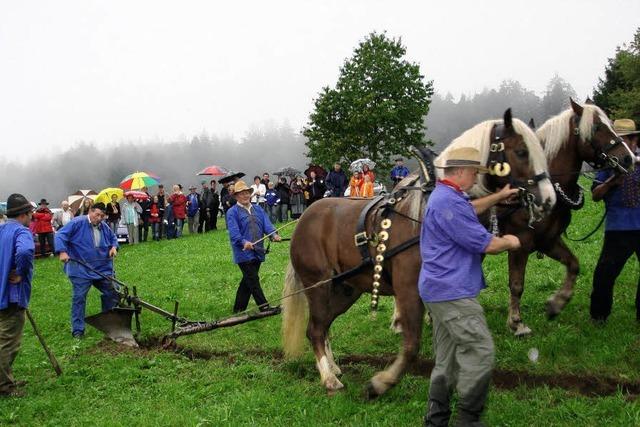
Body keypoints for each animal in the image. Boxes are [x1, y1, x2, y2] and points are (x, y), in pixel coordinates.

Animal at [282, 108, 556, 396]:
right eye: (522, 151)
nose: (548, 199)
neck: (428, 209)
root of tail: (304, 219)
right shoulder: (409, 287)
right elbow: (412, 342)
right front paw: (382, 382)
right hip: (318, 285)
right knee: (315, 329)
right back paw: (329, 378)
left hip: (346, 288)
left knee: (323, 325)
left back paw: (333, 367)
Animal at [496, 98, 636, 336]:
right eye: (597, 127)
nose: (628, 158)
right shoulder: (520, 242)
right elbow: (516, 284)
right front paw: (516, 323)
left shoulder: (548, 241)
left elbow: (573, 264)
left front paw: (556, 303)